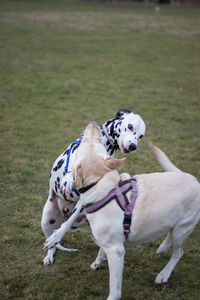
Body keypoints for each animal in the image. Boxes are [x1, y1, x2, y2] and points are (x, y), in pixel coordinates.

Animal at [41, 109, 145, 264]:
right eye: (130, 126)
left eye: (141, 136)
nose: (133, 146)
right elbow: (70, 177)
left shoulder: (84, 199)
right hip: (46, 219)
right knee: (52, 245)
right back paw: (49, 255)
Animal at [45, 123, 200, 300]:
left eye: (95, 141)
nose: (94, 124)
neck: (103, 187)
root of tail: (193, 179)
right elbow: (100, 247)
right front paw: (98, 261)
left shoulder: (116, 251)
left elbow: (115, 287)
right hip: (174, 223)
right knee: (170, 234)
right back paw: (163, 248)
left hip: (183, 228)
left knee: (178, 253)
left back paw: (164, 274)